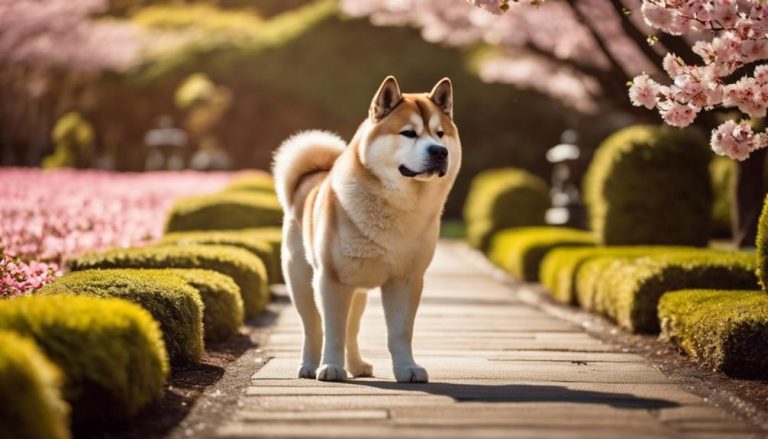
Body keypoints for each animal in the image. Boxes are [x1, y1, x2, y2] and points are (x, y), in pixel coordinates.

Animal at [272, 75, 460, 382]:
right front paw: (331, 367)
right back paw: (310, 365)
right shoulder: (331, 280)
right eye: (409, 133)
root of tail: (311, 177)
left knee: (352, 329)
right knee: (312, 327)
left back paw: (357, 365)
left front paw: (407, 368)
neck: (399, 209)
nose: (439, 151)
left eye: (440, 134)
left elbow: (399, 332)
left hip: (358, 292)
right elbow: (332, 331)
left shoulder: (407, 281)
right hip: (302, 281)